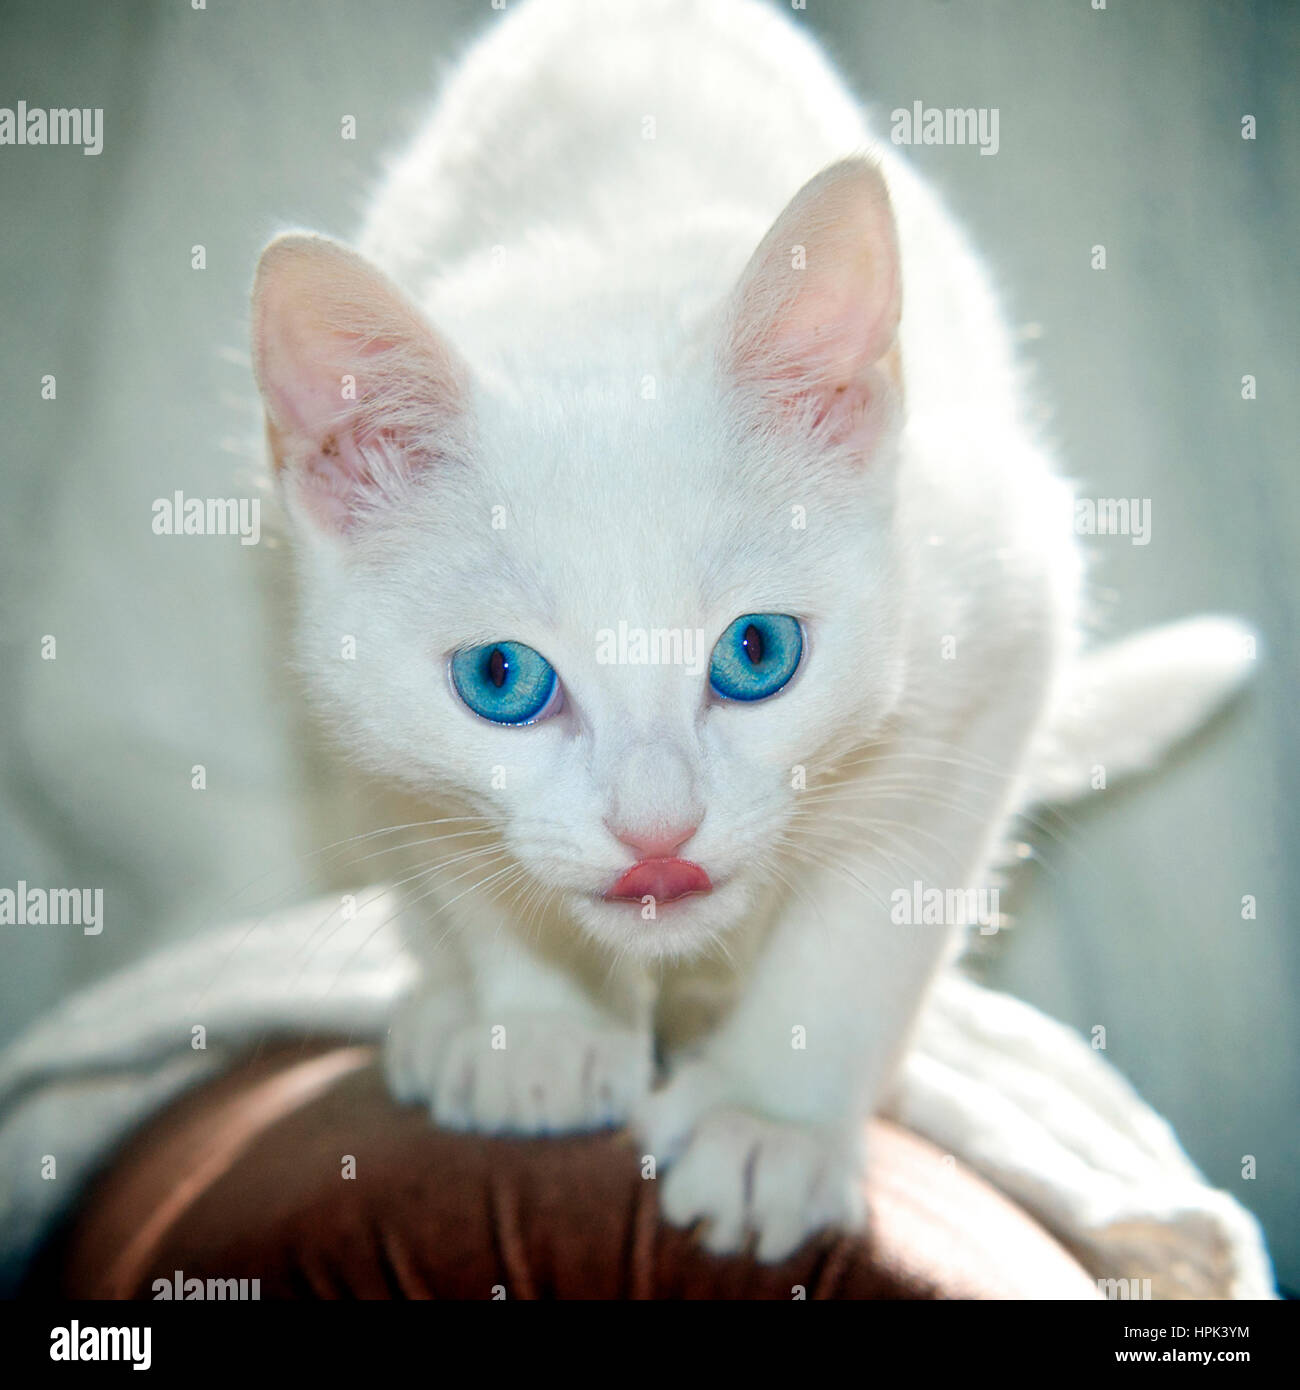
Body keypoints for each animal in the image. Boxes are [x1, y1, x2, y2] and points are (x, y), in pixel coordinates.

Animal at [248, 0, 1256, 1262]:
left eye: (757, 653)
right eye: (500, 676)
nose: (657, 830)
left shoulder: (1002, 616)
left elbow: (875, 915)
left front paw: (773, 1120)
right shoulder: (361, 711)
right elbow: (452, 841)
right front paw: (541, 1026)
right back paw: (447, 1011)